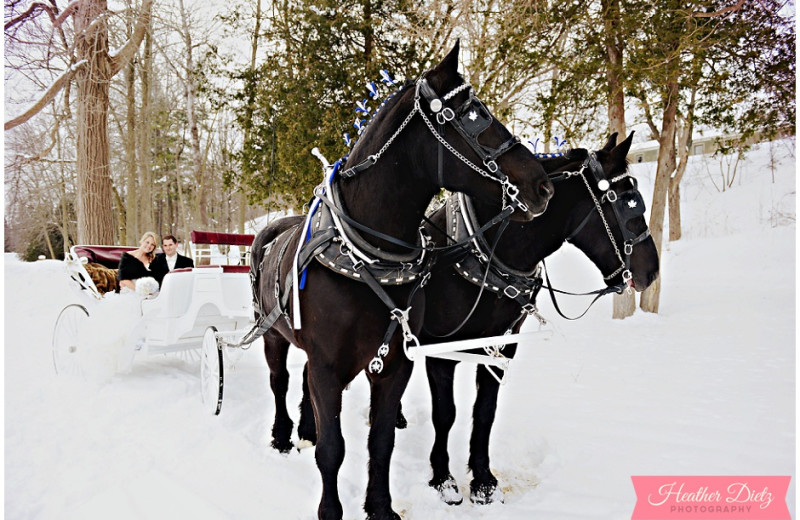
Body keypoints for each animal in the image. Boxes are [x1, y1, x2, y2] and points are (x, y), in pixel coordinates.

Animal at [253, 43, 552, 520]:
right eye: (472, 115)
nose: (542, 187)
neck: (369, 257)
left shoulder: (396, 363)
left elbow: (381, 441)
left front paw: (380, 507)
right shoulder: (327, 363)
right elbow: (333, 450)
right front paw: (331, 510)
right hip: (273, 334)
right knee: (279, 380)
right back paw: (282, 435)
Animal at [422, 132, 660, 506]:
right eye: (628, 205)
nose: (652, 271)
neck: (484, 254)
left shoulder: (501, 346)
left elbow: (485, 411)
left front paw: (483, 481)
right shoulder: (438, 348)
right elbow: (445, 413)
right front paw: (443, 479)